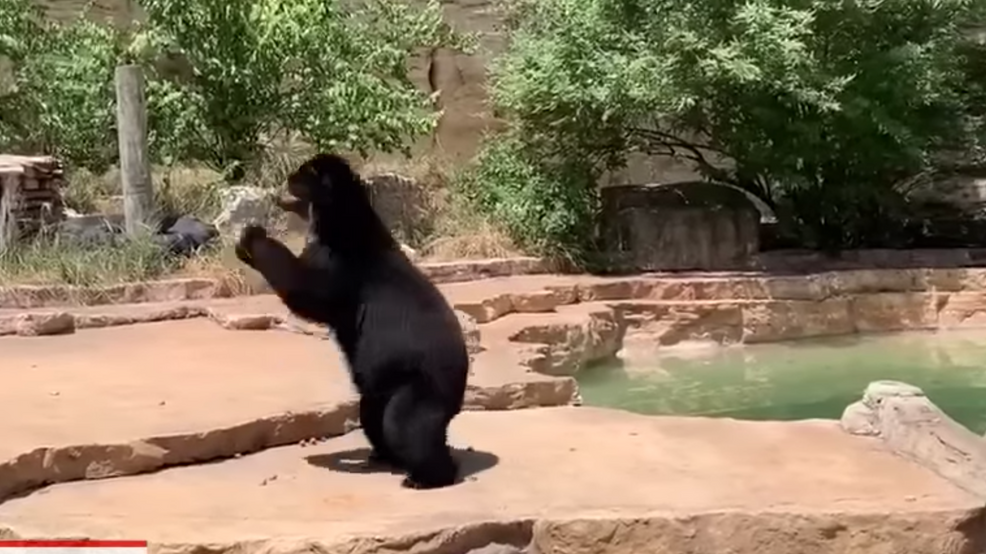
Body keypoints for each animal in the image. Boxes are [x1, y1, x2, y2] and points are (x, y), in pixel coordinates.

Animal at [235, 153, 470, 490]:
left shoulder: (342, 266)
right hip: (381, 386)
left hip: (421, 384)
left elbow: (307, 291)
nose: (285, 178)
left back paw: (425, 476)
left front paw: (253, 236)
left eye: (300, 174)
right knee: (373, 418)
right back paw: (384, 457)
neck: (337, 222)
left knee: (405, 425)